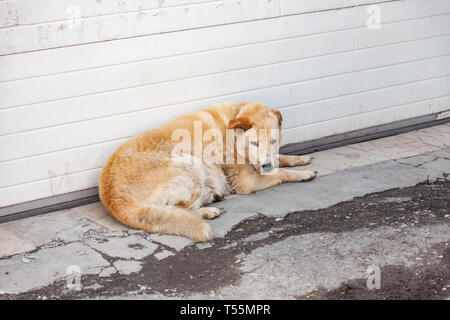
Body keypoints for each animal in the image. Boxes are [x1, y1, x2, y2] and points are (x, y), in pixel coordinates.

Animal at [98, 101, 316, 241]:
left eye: (273, 141)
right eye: (255, 143)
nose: (266, 165)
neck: (232, 126)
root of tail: (113, 198)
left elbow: (281, 159)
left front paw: (300, 159)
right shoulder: (246, 182)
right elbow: (281, 173)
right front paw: (303, 174)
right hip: (190, 165)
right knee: (181, 209)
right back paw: (208, 210)